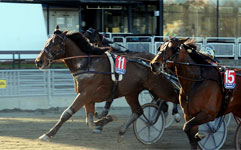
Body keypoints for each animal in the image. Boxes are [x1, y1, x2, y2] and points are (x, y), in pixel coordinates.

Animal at [35, 26, 179, 141]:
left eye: (54, 43)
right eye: (47, 42)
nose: (38, 61)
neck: (87, 64)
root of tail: (156, 62)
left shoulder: (85, 94)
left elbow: (67, 113)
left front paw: (48, 134)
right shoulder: (88, 97)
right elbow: (90, 121)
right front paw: (105, 120)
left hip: (159, 88)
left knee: (174, 97)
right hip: (131, 92)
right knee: (138, 111)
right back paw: (127, 129)